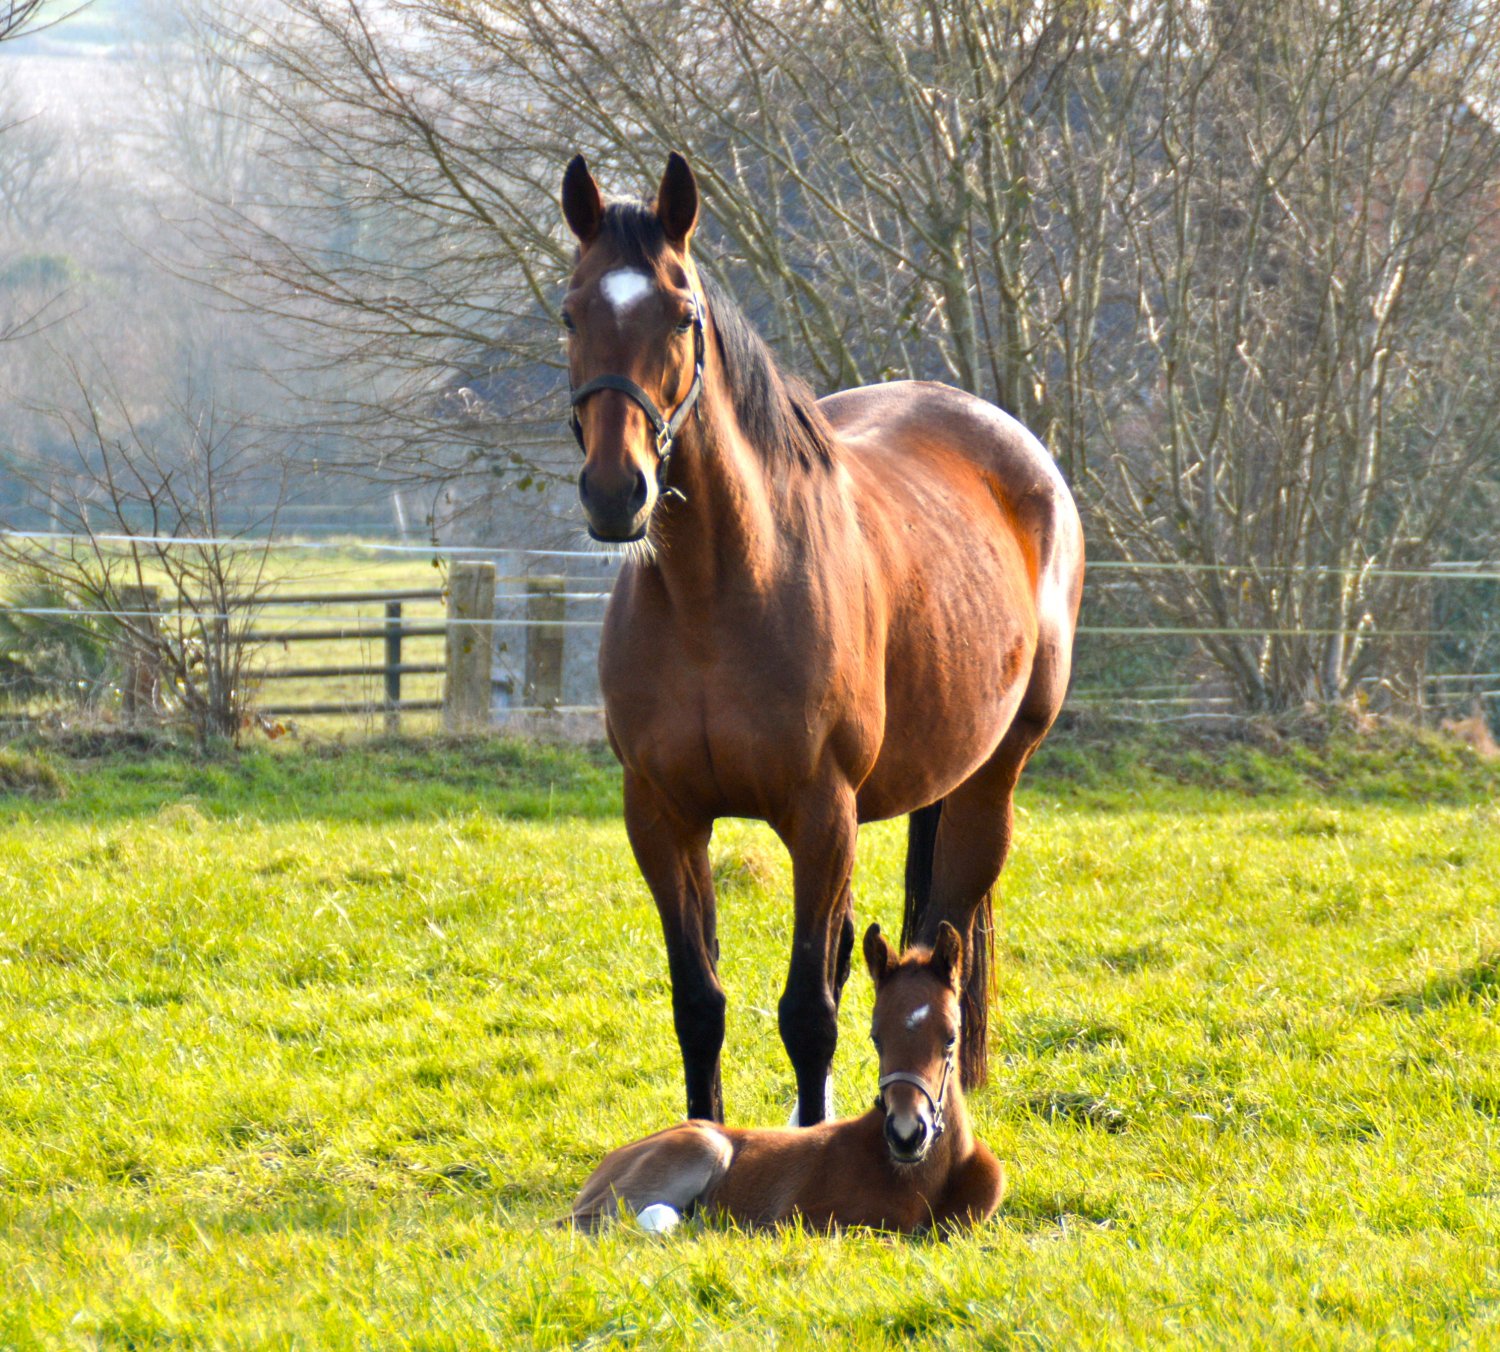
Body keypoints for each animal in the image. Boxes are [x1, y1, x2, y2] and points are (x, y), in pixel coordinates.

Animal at [561, 151, 1084, 1126]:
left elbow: (808, 1009)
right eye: (571, 312)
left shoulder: (820, 813)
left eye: (682, 313)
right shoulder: (662, 815)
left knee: (941, 939)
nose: (617, 492)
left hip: (991, 779)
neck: (715, 597)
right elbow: (700, 1000)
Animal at [570, 922, 1004, 1234]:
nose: (906, 1133)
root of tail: (609, 1160)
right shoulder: (801, 1219)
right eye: (876, 1037)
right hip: (702, 1146)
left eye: (951, 1038)